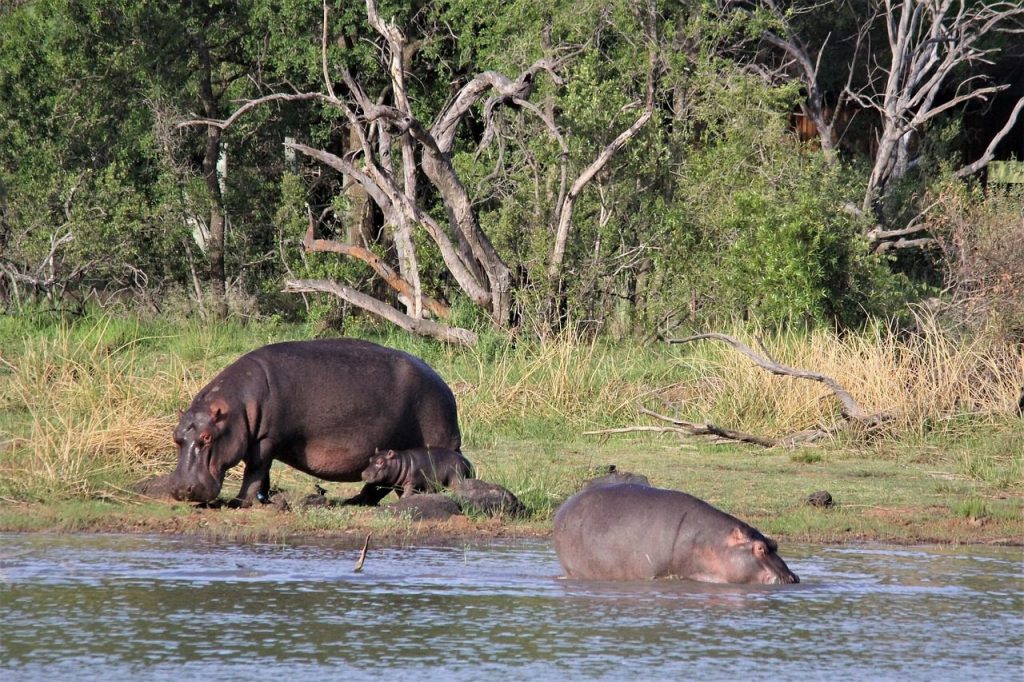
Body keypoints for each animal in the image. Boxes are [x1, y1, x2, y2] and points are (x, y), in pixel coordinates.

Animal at [169, 339, 461, 506]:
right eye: (176, 436)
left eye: (207, 437)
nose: (181, 489)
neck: (238, 406)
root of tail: (444, 384)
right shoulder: (262, 442)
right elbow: (263, 474)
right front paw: (265, 498)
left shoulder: (265, 440)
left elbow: (254, 470)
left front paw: (239, 502)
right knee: (379, 484)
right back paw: (354, 501)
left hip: (437, 439)